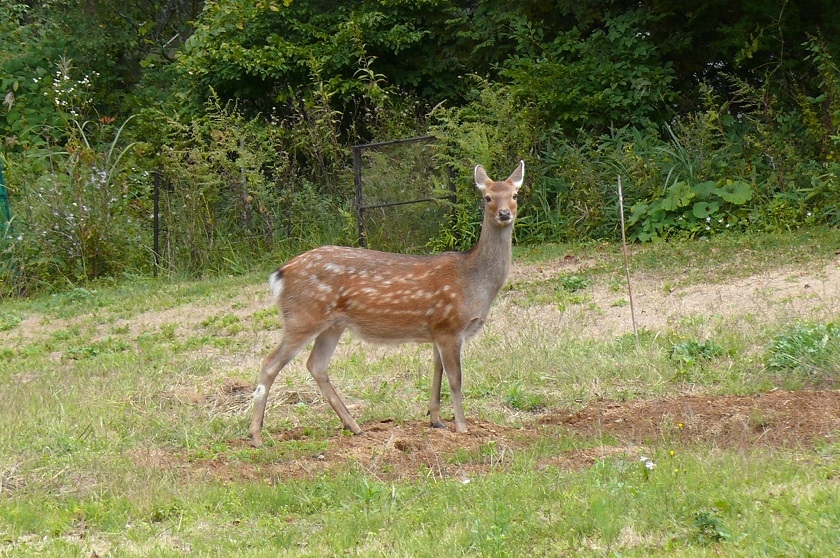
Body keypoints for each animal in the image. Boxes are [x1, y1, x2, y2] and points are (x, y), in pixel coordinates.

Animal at [249, 160, 524, 448]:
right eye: (487, 197)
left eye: (515, 195)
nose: (504, 213)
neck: (474, 281)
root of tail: (278, 275)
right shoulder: (450, 326)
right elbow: (455, 378)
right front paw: (462, 428)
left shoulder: (437, 328)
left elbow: (436, 370)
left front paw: (436, 420)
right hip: (303, 317)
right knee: (269, 363)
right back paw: (256, 436)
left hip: (332, 324)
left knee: (316, 365)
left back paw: (355, 427)